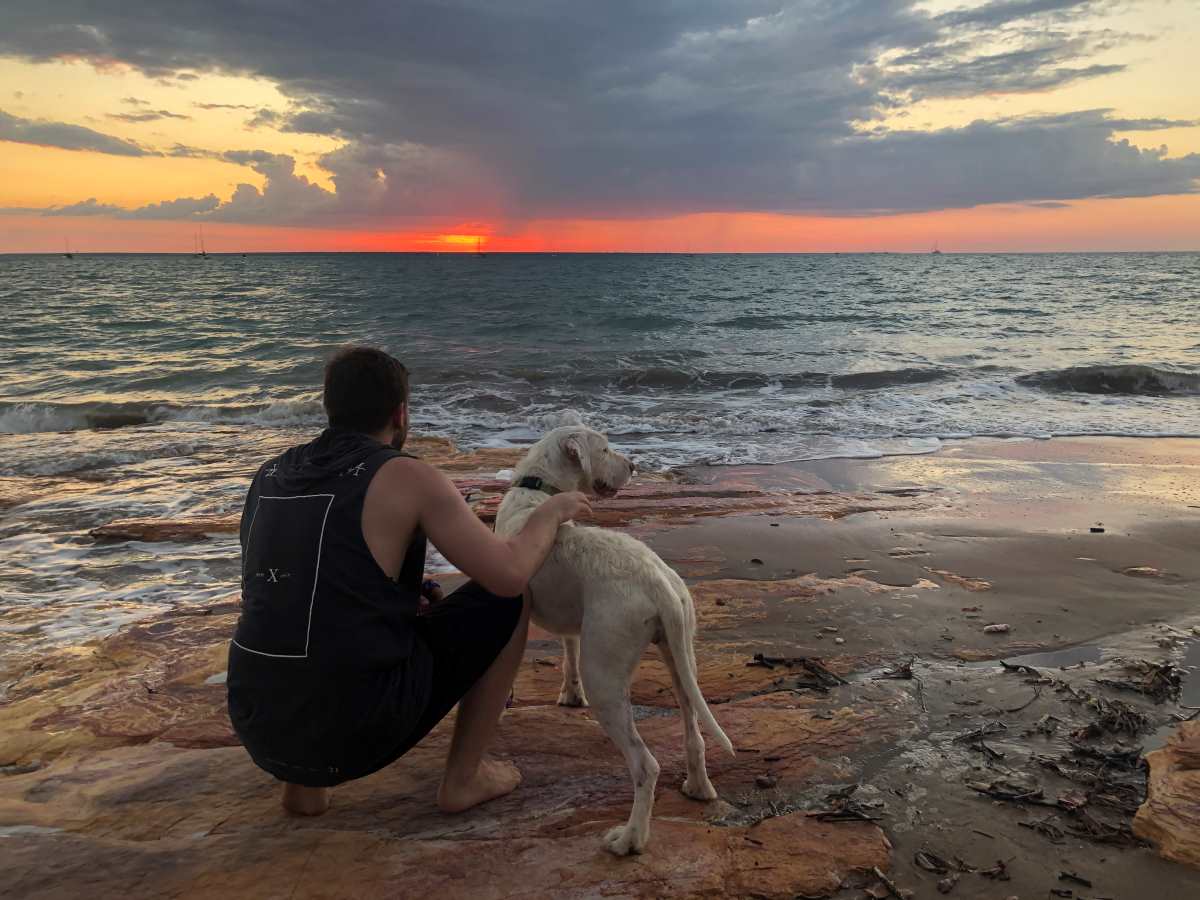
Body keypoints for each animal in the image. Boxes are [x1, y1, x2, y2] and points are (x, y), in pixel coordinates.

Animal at [494, 427, 729, 854]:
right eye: (604, 449)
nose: (634, 465)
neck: (536, 491)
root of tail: (657, 582)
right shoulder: (572, 623)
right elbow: (567, 651)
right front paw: (570, 696)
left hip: (604, 675)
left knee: (644, 765)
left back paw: (629, 839)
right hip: (680, 655)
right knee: (694, 733)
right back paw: (699, 788)